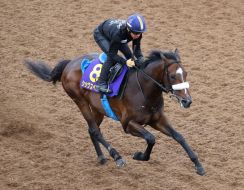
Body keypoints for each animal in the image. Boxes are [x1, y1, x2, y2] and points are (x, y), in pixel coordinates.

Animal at [24, 48, 206, 175]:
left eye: (186, 74)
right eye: (173, 76)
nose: (187, 101)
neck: (144, 90)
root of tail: (69, 63)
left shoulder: (157, 119)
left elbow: (179, 137)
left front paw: (198, 165)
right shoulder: (128, 124)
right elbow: (151, 138)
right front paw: (139, 155)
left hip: (98, 108)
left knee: (92, 129)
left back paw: (101, 157)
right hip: (80, 101)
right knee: (95, 130)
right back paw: (117, 157)